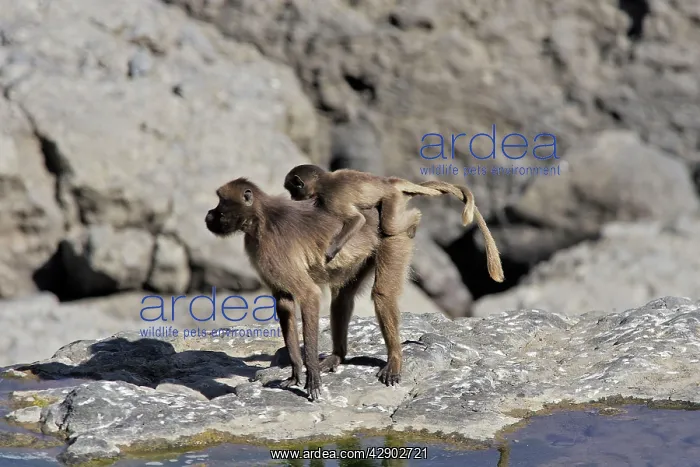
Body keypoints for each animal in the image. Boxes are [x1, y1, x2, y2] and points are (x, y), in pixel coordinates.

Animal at [205, 177, 414, 401]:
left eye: (221, 201)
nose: (209, 214)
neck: (259, 219)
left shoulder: (271, 250)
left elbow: (309, 295)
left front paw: (311, 376)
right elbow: (284, 302)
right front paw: (296, 371)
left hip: (393, 234)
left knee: (383, 294)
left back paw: (394, 360)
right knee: (342, 298)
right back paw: (336, 356)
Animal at [284, 164, 504, 283]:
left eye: (293, 189)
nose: (293, 199)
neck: (323, 182)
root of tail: (390, 182)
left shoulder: (332, 198)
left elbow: (358, 220)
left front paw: (330, 252)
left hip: (392, 198)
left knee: (390, 225)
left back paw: (415, 219)